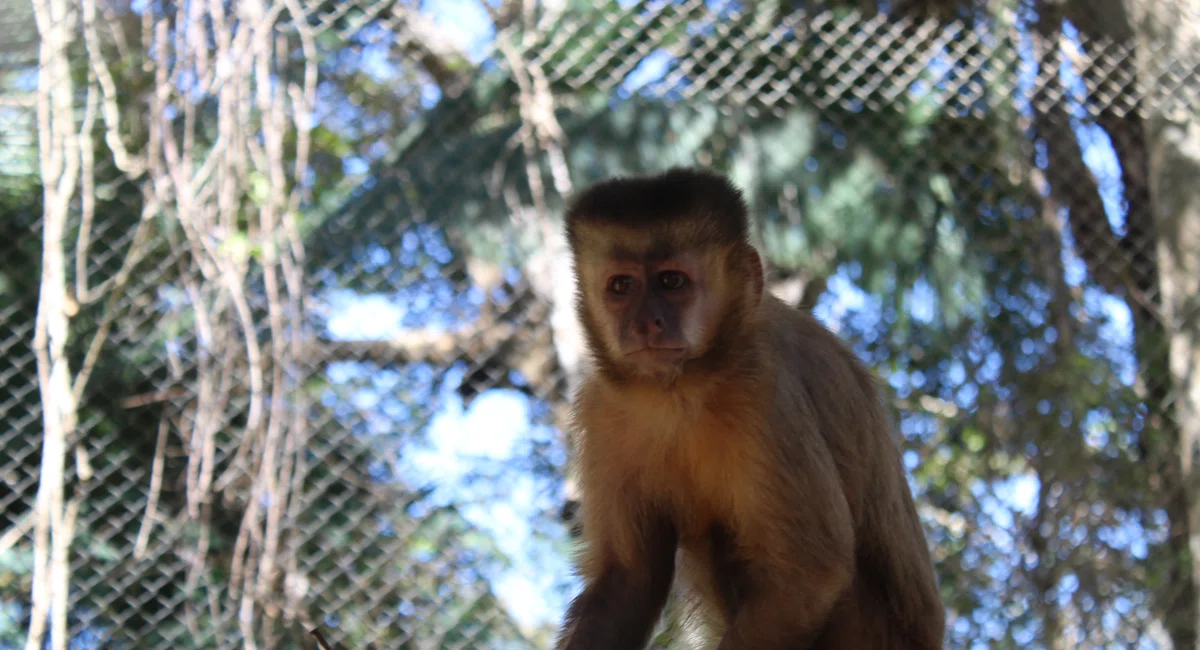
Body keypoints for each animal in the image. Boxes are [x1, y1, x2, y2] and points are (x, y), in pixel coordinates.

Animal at [554, 169, 945, 650]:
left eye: (671, 282)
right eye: (621, 287)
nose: (646, 323)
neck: (679, 390)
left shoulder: (764, 391)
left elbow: (808, 574)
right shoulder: (601, 408)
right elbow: (629, 579)